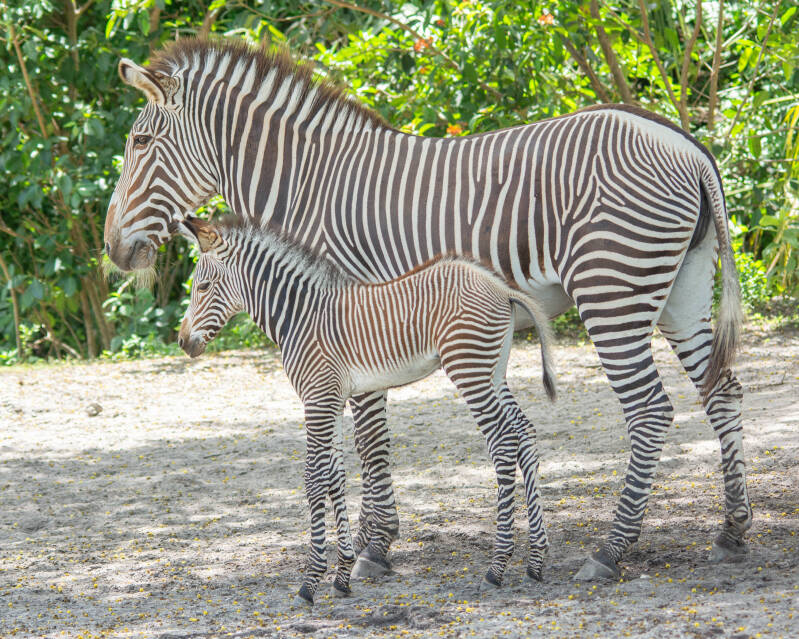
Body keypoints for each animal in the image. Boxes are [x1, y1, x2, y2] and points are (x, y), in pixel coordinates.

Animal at [176, 214, 556, 603]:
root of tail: (499, 287)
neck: (301, 315)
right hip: (493, 371)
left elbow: (314, 478)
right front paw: (342, 574)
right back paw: (535, 560)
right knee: (524, 434)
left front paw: (311, 580)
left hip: (470, 370)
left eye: (203, 286)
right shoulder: (331, 399)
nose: (182, 341)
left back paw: (497, 566)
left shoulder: (316, 399)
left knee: (503, 443)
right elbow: (335, 475)